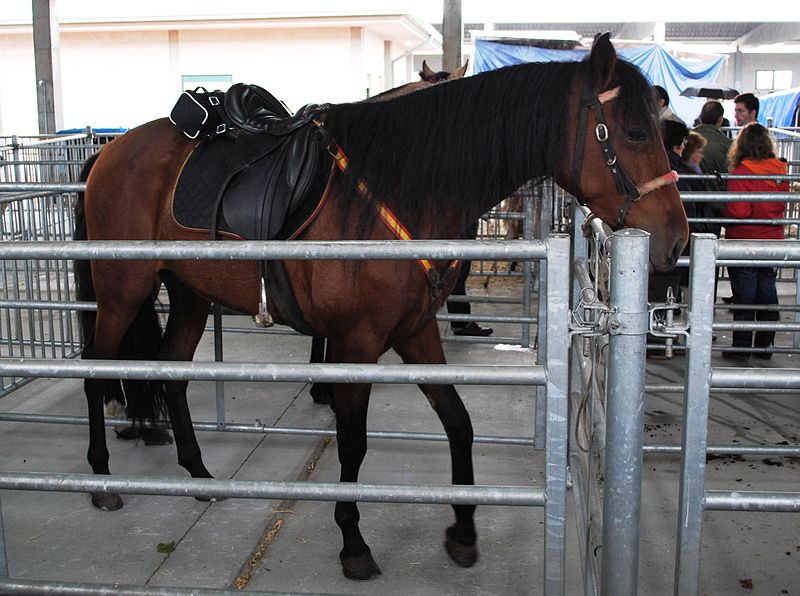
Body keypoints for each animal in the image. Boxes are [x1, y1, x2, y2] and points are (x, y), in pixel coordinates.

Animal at [73, 35, 688, 580]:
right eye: (635, 133)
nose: (676, 240)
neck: (400, 185)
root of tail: (110, 151)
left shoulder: (415, 333)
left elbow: (458, 422)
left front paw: (463, 531)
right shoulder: (358, 342)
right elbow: (353, 443)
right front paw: (353, 544)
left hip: (189, 296)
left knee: (171, 375)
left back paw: (199, 475)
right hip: (123, 290)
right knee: (95, 374)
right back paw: (100, 480)